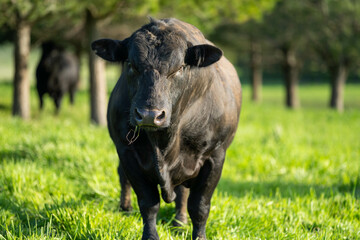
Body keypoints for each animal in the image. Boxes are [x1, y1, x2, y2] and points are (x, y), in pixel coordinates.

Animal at [91, 18, 242, 240]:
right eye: (131, 65)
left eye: (179, 68)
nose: (149, 114)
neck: (164, 145)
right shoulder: (127, 152)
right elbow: (148, 203)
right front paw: (150, 236)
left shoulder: (215, 156)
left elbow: (199, 207)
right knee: (123, 176)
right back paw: (125, 208)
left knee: (182, 194)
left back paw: (179, 223)